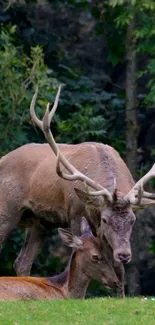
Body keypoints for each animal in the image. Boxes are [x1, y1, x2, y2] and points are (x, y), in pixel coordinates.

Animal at [0, 85, 155, 294]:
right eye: (105, 219)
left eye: (132, 220)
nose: (124, 254)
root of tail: (2, 158)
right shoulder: (75, 213)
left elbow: (119, 269)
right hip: (7, 210)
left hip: (39, 222)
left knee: (22, 261)